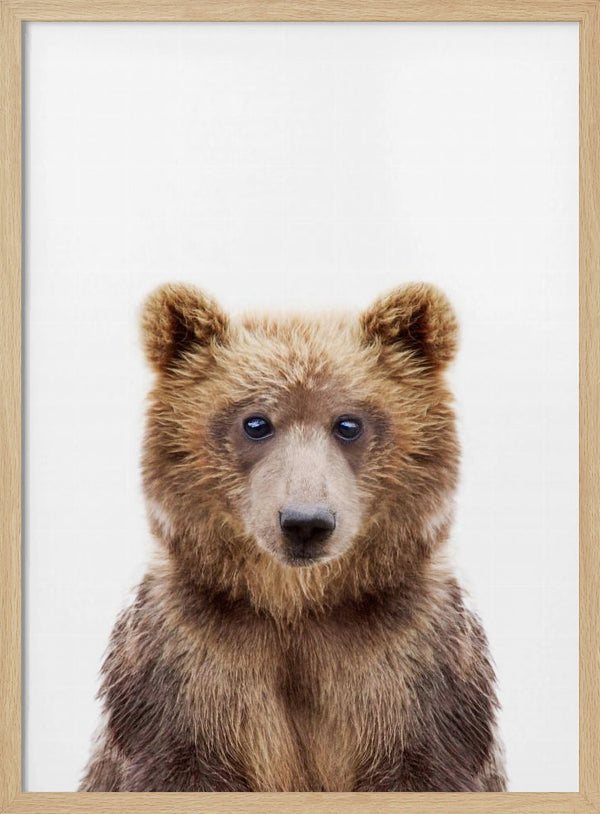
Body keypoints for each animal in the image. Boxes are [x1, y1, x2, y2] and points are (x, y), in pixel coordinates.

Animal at [79, 282, 506, 792]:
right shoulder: (186, 669)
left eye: (349, 423)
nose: (306, 522)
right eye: (255, 422)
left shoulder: (414, 669)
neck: (297, 606)